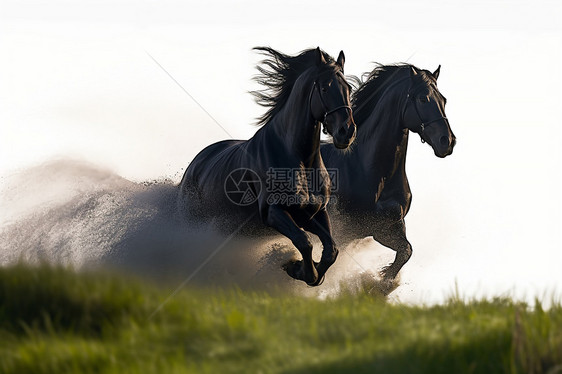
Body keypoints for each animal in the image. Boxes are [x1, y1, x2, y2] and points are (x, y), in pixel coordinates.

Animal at [178, 47, 354, 286]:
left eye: (349, 88)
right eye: (325, 87)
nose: (347, 132)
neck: (299, 160)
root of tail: (193, 168)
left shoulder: (313, 213)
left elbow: (331, 250)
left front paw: (312, 272)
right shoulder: (273, 212)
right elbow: (304, 242)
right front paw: (296, 268)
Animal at [322, 63, 452, 280]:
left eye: (443, 100)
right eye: (423, 98)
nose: (447, 141)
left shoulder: (384, 228)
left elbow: (406, 251)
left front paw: (383, 280)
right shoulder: (343, 230)